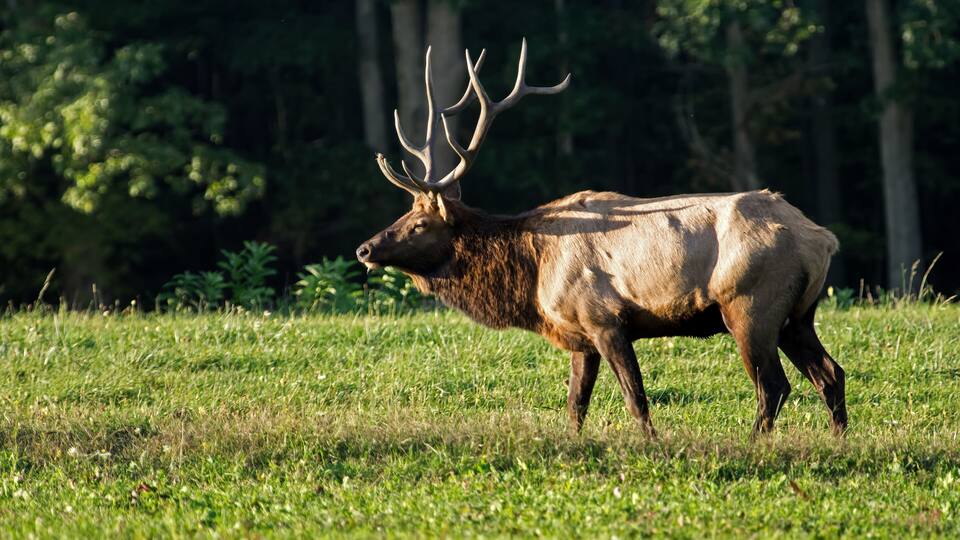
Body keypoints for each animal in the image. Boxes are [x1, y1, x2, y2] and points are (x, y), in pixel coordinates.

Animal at [356, 39, 848, 438]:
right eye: (404, 213)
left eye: (419, 225)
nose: (365, 248)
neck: (533, 276)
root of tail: (823, 239)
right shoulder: (580, 336)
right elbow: (576, 404)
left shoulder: (605, 320)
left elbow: (635, 397)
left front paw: (652, 445)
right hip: (797, 316)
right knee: (831, 374)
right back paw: (838, 439)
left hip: (750, 305)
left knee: (775, 386)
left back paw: (752, 443)